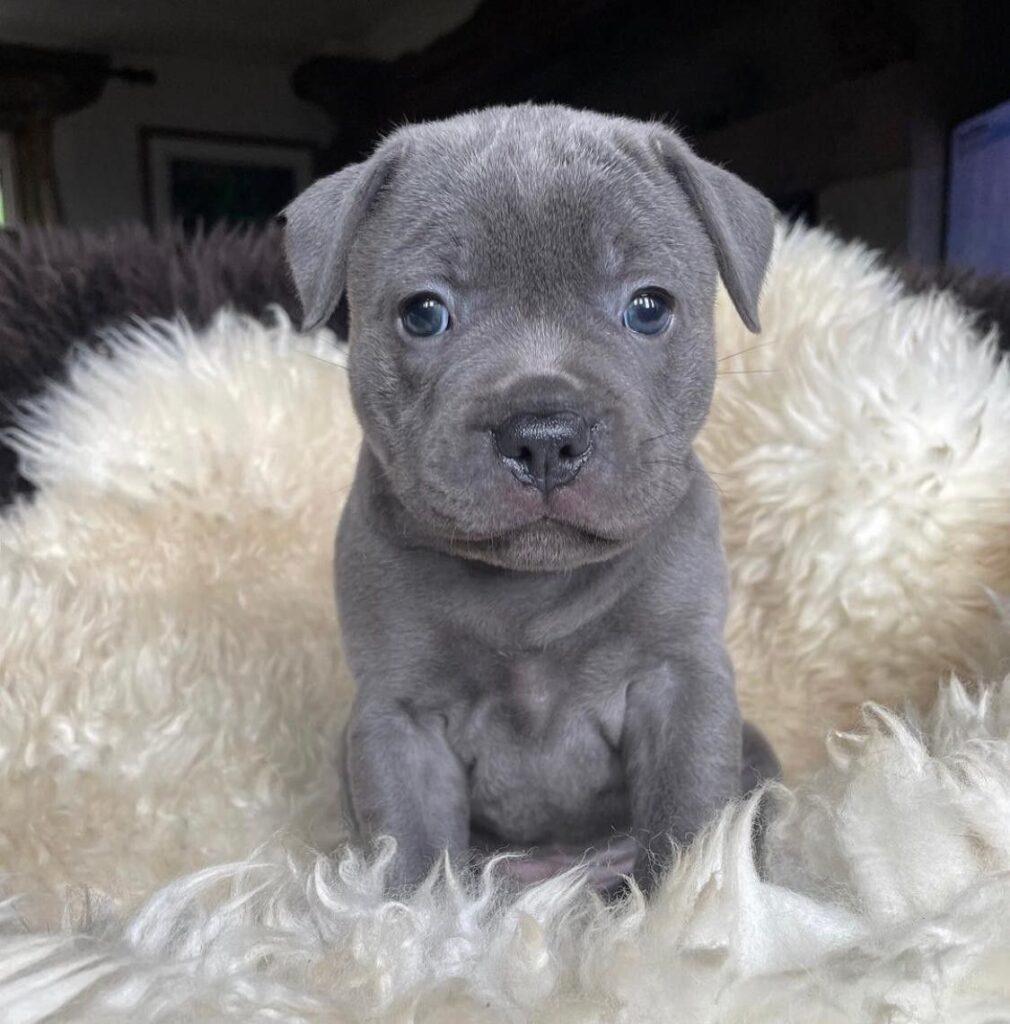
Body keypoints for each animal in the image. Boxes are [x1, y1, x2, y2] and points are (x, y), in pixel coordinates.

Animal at [281, 104, 780, 894]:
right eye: (424, 313)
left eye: (648, 309)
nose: (544, 436)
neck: (528, 587)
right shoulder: (399, 719)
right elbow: (413, 851)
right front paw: (405, 920)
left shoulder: (683, 683)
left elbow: (687, 817)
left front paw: (686, 905)